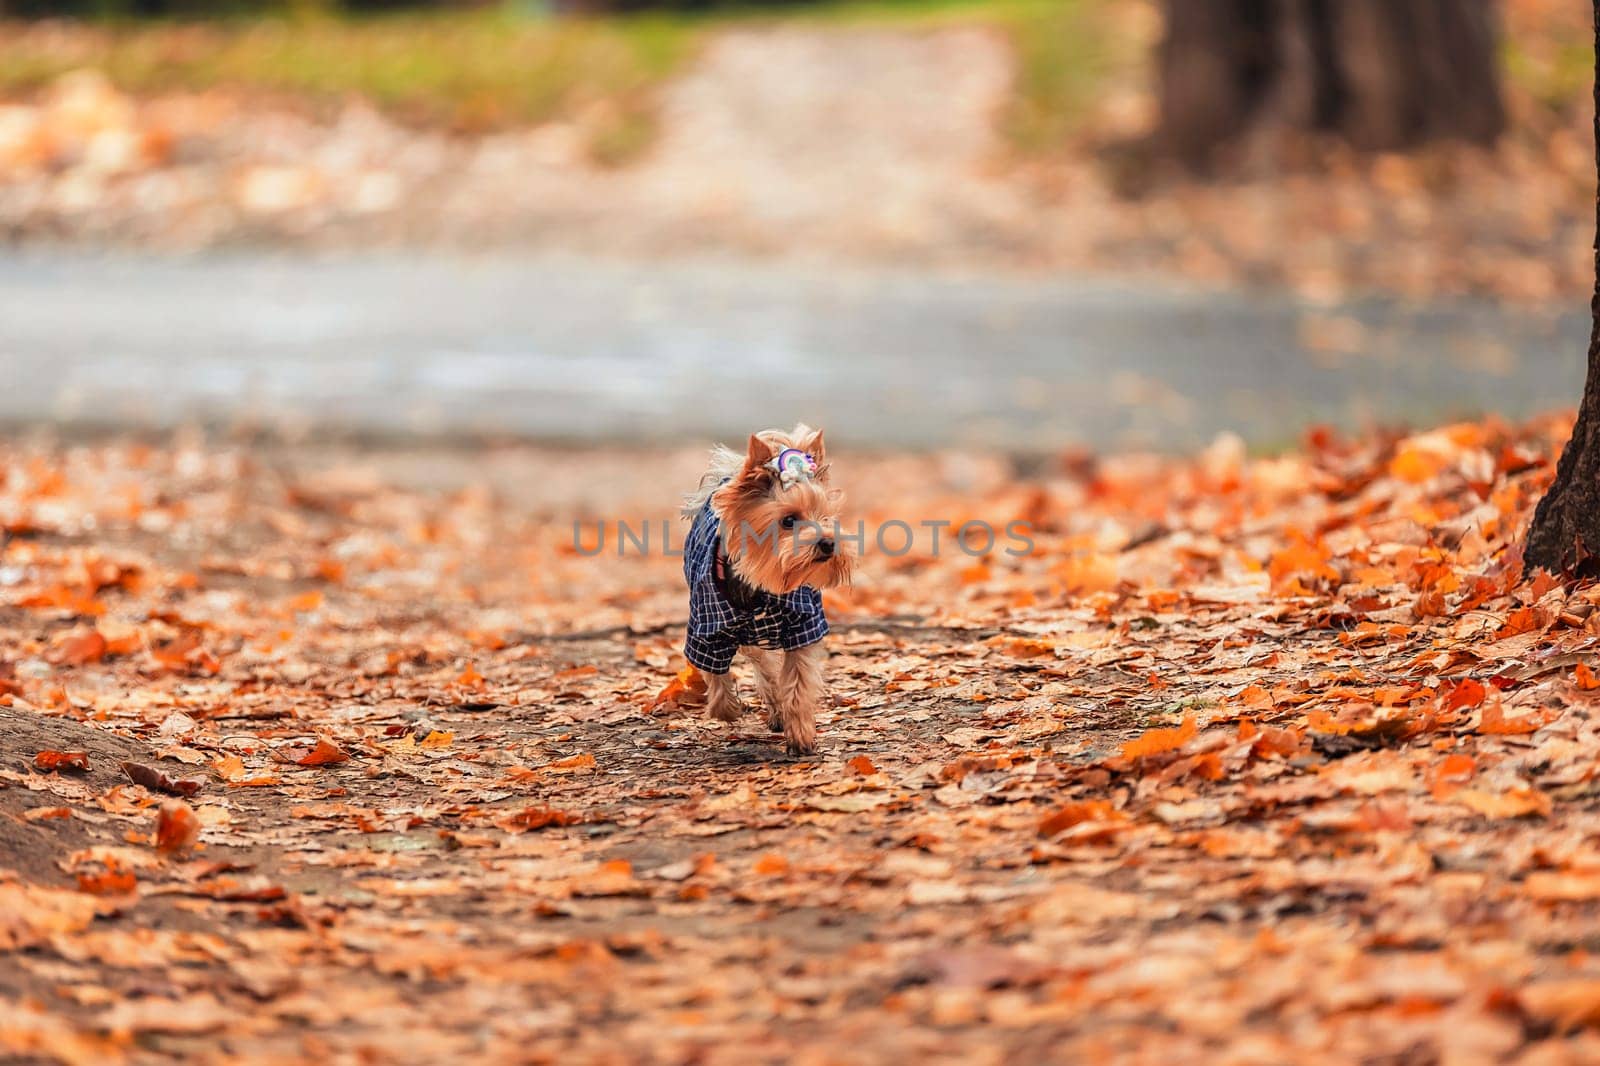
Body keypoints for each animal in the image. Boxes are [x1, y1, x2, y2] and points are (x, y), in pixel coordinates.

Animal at [684, 419, 857, 752]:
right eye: (788, 520)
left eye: (825, 516)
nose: (829, 543)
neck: (760, 588)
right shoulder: (706, 628)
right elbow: (715, 673)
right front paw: (727, 709)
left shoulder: (803, 623)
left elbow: (798, 680)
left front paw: (800, 732)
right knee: (761, 662)